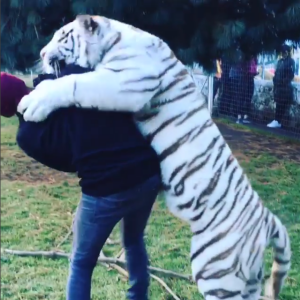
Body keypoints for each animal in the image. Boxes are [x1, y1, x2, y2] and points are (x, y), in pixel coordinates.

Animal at [17, 14, 290, 300]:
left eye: (62, 36)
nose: (41, 53)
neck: (115, 40)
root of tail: (267, 219)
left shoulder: (125, 82)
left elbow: (73, 83)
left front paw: (33, 102)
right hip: (245, 278)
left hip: (215, 270)